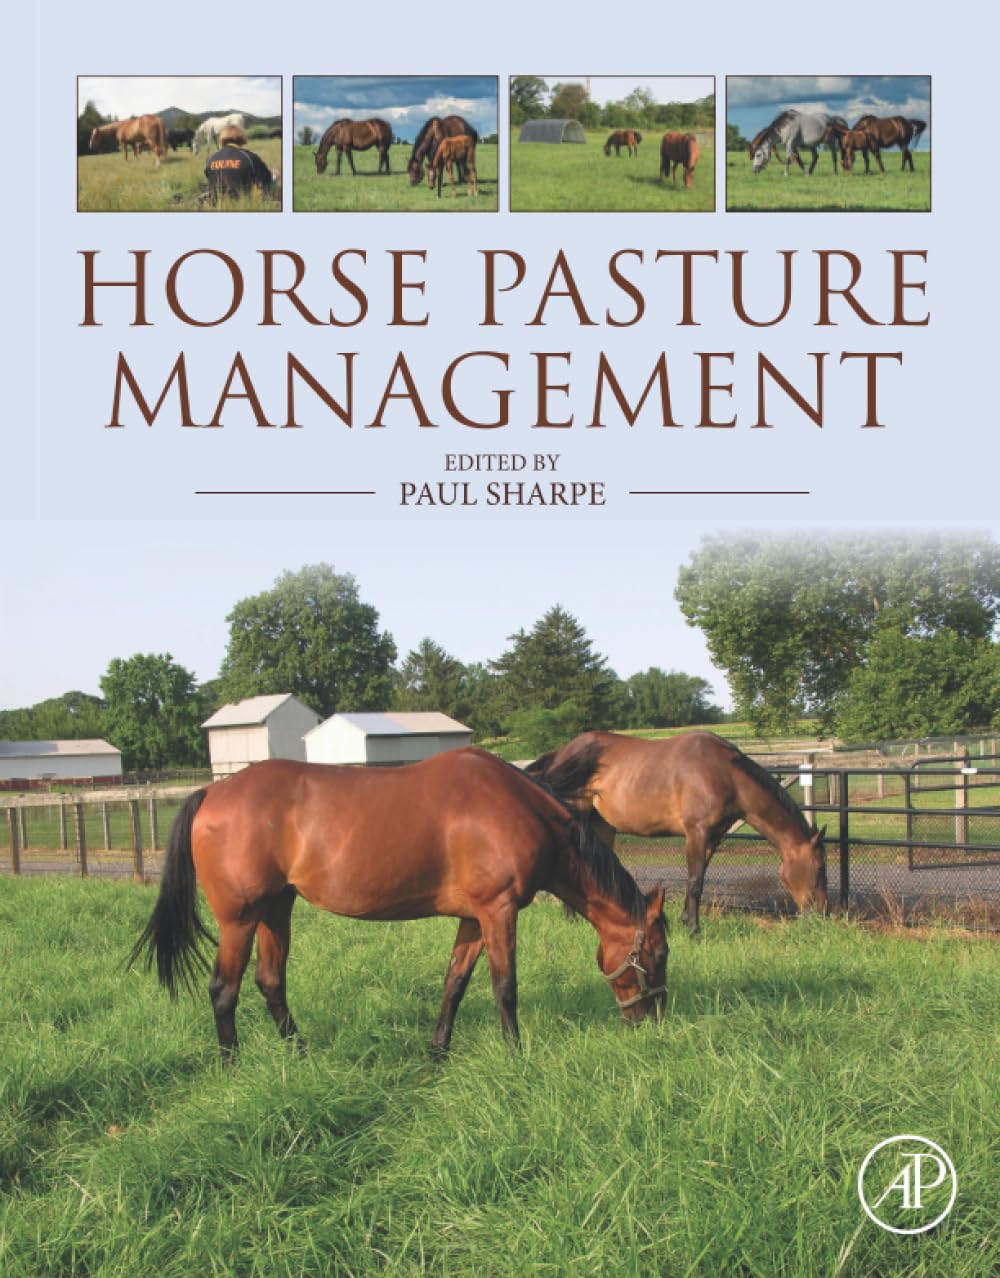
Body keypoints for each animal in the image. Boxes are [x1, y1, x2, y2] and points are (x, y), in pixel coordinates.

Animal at [129, 747, 668, 1061]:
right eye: (659, 954)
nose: (654, 1022)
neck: (520, 809)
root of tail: (210, 792)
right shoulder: (498, 911)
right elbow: (505, 988)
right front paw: (516, 1056)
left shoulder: (473, 917)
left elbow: (455, 984)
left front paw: (438, 1052)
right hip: (239, 918)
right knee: (224, 989)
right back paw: (232, 1064)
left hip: (276, 909)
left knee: (270, 982)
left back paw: (300, 1054)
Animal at [527, 731, 829, 937]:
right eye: (820, 867)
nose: (823, 913)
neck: (725, 774)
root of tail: (561, 753)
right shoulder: (696, 832)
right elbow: (694, 882)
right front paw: (694, 929)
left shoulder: (712, 838)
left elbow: (698, 880)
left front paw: (686, 922)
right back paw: (572, 919)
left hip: (602, 824)